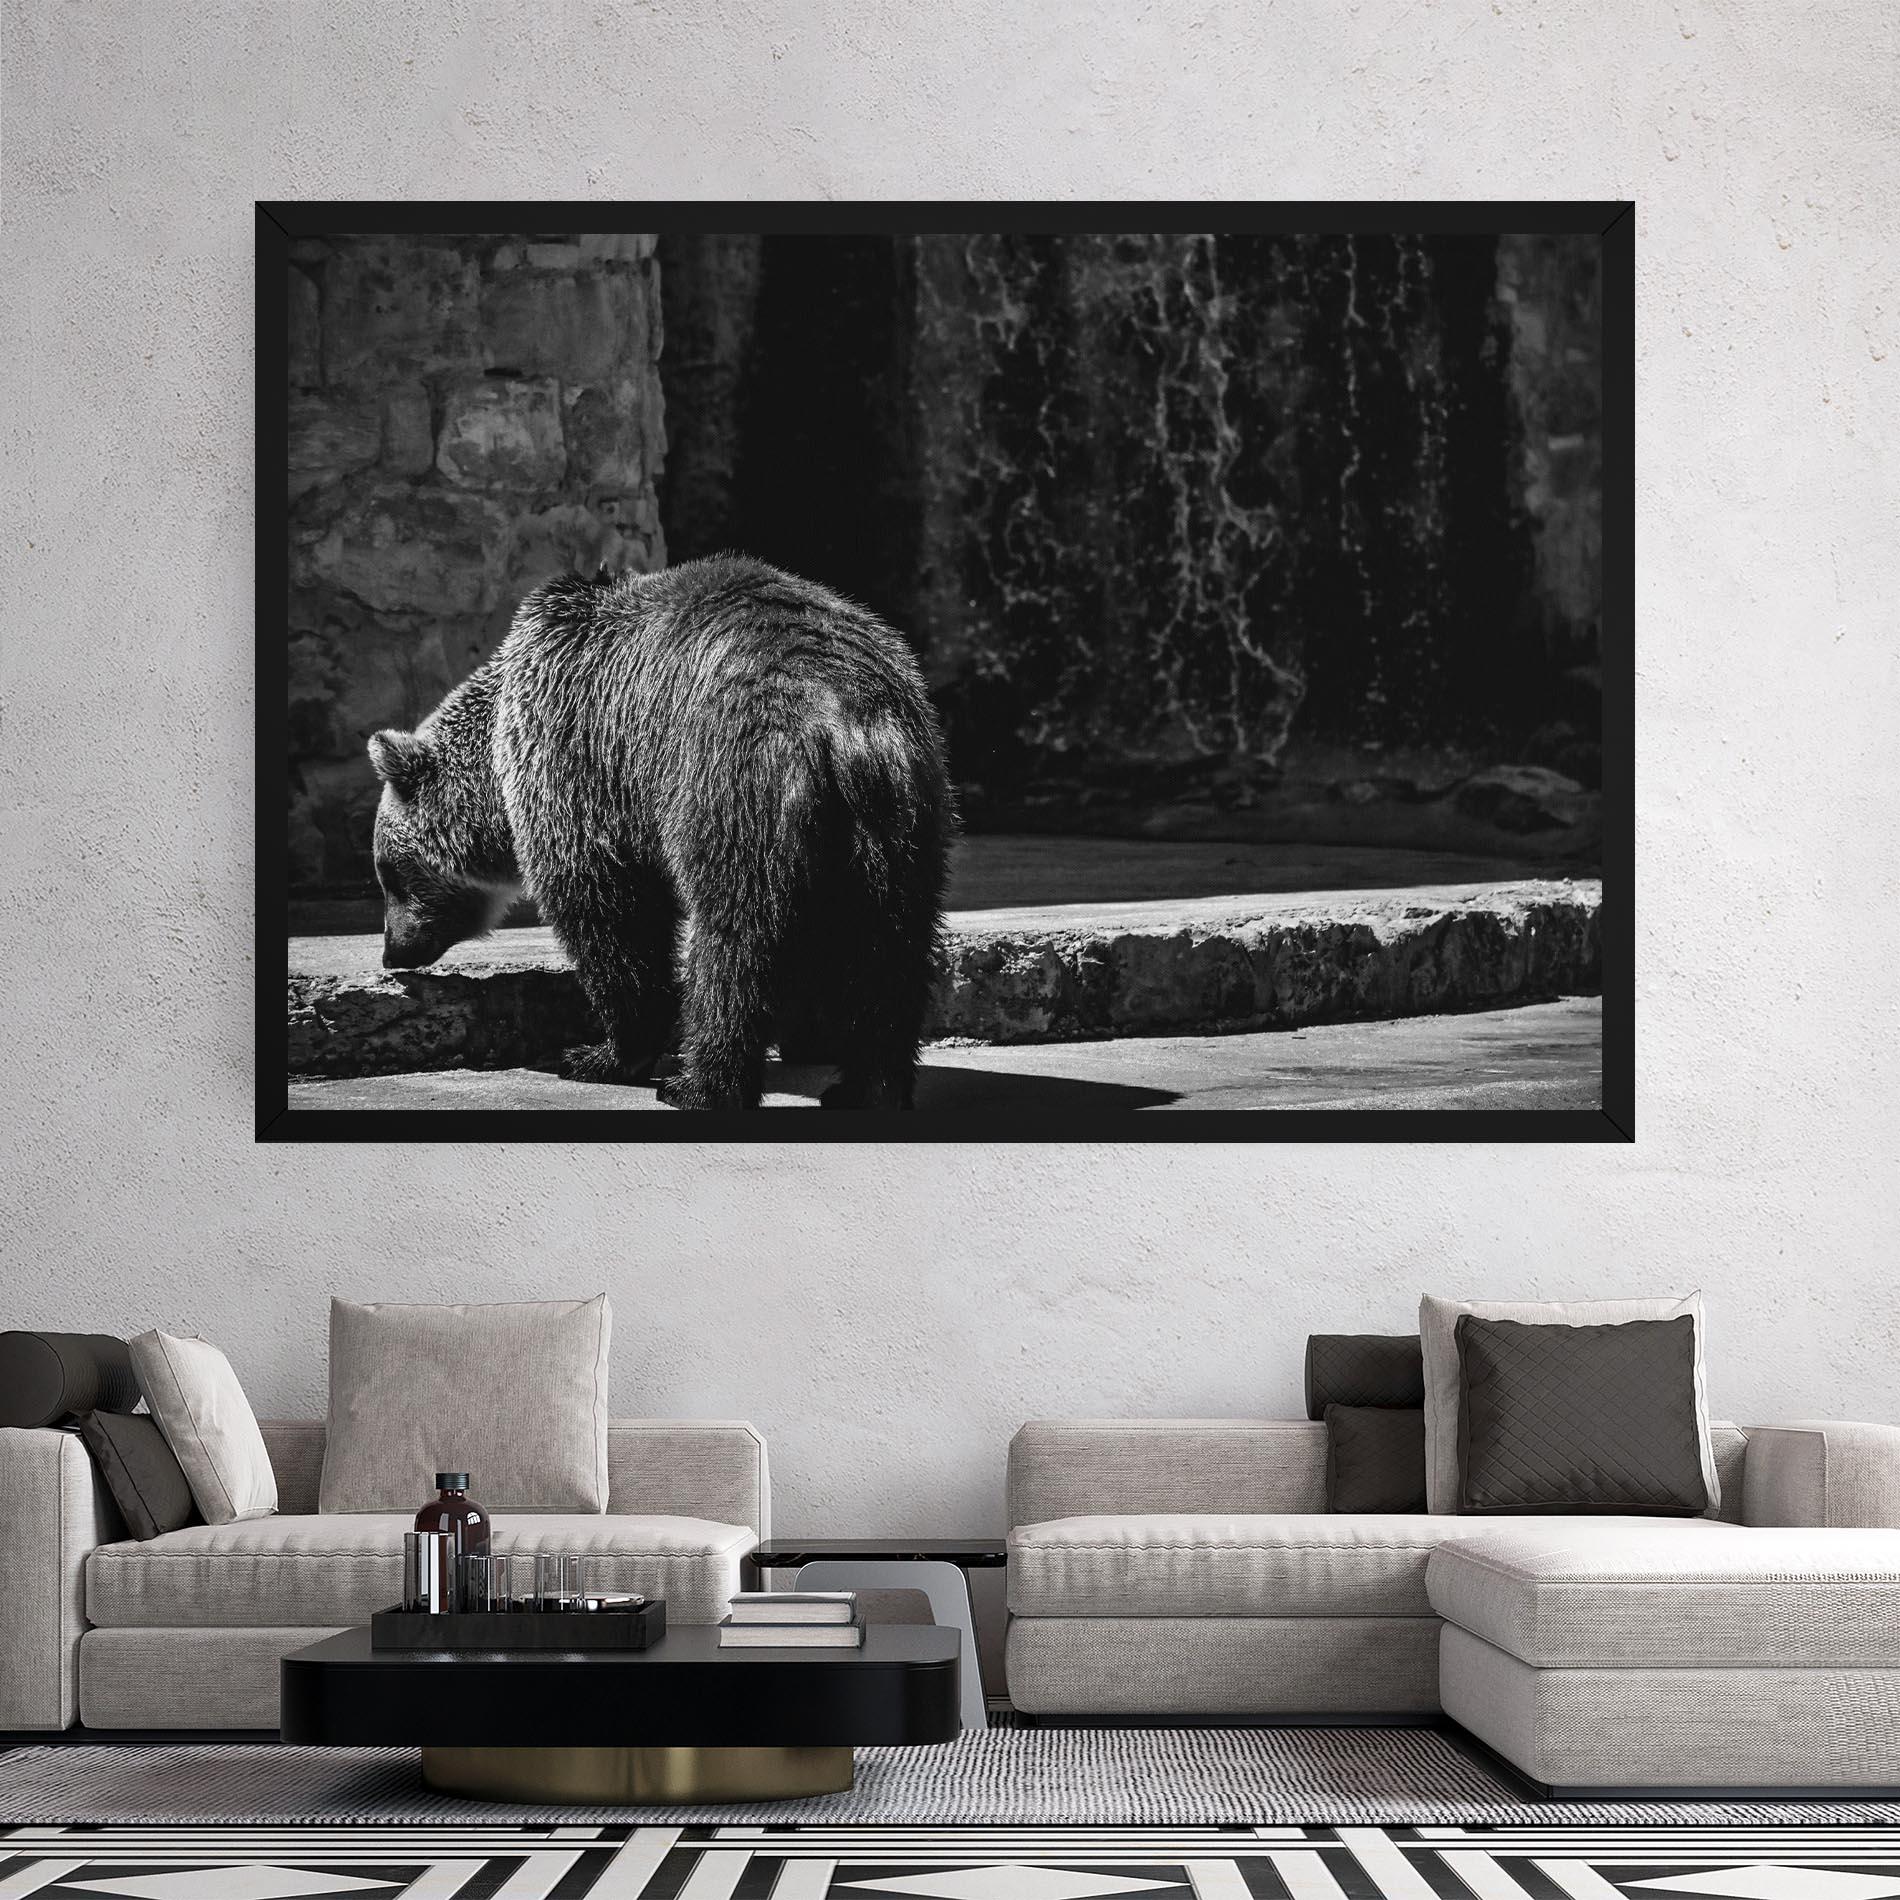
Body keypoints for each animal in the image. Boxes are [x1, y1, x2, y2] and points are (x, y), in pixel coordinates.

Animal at [367, 555, 954, 1110]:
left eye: (389, 873)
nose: (393, 953)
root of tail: (844, 719)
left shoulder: (582, 758)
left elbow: (611, 913)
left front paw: (597, 1054)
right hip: (901, 820)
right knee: (890, 947)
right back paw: (868, 1086)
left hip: (734, 784)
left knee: (735, 942)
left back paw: (698, 1085)